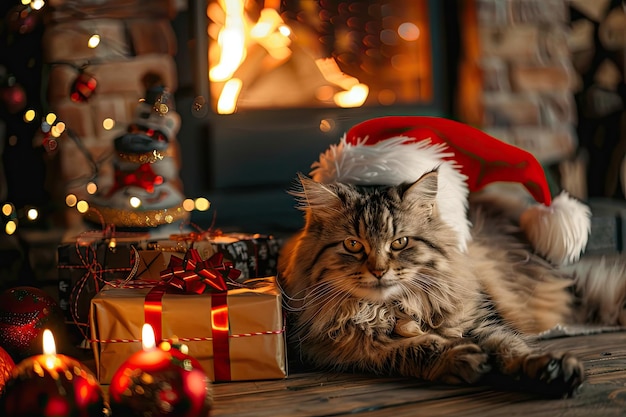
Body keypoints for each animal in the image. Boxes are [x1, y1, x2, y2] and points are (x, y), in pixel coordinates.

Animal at [276, 168, 624, 396]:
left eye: (400, 242)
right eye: (353, 245)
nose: (379, 271)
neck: (392, 308)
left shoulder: (479, 320)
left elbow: (511, 346)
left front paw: (549, 369)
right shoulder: (350, 348)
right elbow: (415, 348)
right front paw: (460, 358)